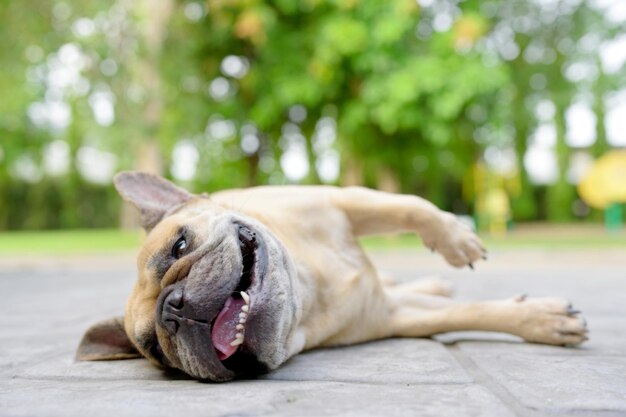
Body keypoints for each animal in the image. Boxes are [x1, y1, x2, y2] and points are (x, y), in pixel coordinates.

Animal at [74, 170, 584, 380]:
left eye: (179, 247)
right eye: (158, 351)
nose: (174, 309)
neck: (310, 288)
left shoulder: (341, 199)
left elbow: (410, 206)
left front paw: (454, 238)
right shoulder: (395, 316)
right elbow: (465, 313)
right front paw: (543, 320)